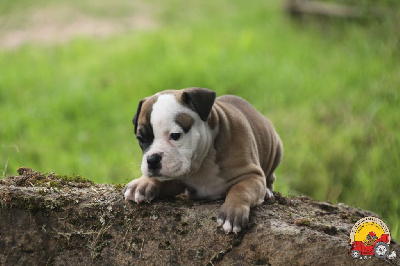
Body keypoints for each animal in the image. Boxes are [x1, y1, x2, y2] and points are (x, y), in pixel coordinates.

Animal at [123, 87, 282, 233]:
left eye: (175, 135)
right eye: (140, 139)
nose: (152, 160)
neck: (204, 161)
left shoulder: (252, 175)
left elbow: (241, 189)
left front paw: (232, 212)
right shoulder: (176, 180)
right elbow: (162, 180)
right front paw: (142, 183)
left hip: (276, 148)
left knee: (270, 177)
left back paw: (267, 192)